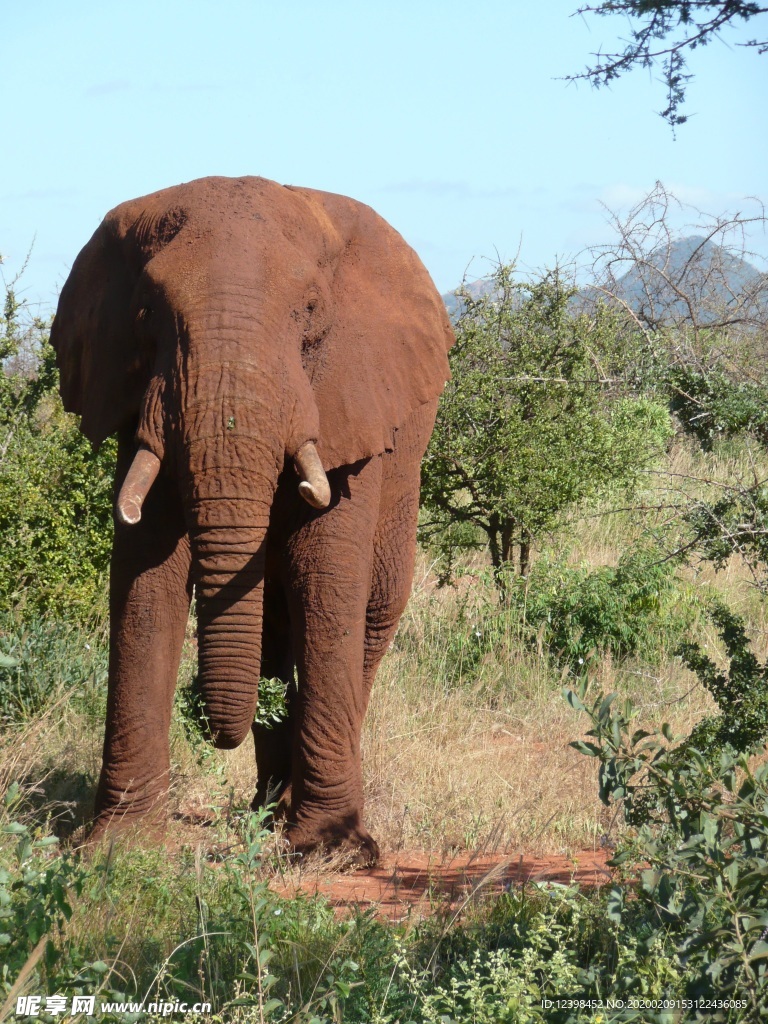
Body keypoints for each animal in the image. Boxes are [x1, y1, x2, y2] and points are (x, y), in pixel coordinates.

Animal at [51, 176, 454, 864]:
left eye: (311, 313)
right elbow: (144, 577)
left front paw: (330, 850)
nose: (214, 727)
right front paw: (119, 848)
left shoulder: (349, 403)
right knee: (272, 622)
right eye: (145, 315)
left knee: (371, 610)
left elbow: (324, 574)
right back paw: (268, 810)